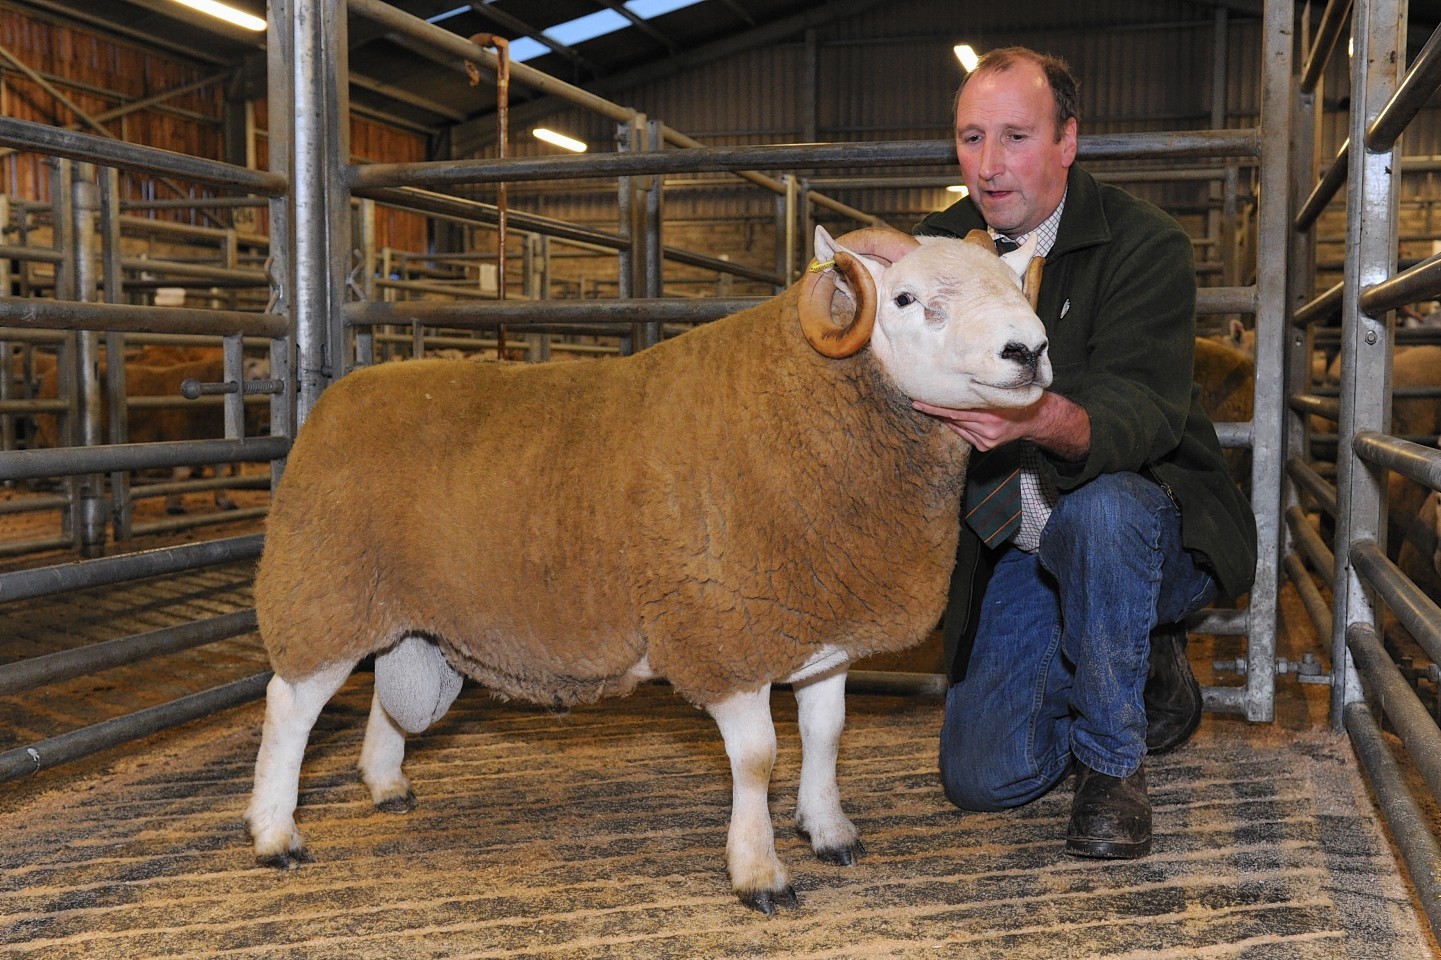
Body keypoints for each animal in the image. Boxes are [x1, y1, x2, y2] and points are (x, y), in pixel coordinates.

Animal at [247, 226, 1054, 910]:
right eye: (907, 299)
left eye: (1014, 284)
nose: (1028, 350)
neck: (808, 406)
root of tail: (339, 394)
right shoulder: (723, 629)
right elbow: (756, 759)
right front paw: (758, 873)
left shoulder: (819, 628)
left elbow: (826, 734)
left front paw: (828, 832)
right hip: (321, 590)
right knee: (289, 707)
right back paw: (274, 835)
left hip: (396, 608)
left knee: (382, 698)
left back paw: (386, 784)